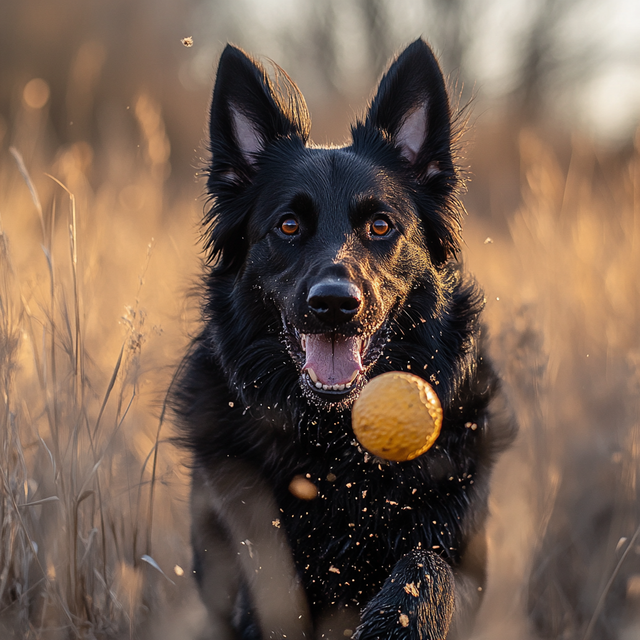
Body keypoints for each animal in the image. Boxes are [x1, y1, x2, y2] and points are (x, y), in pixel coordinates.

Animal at [174, 37, 516, 636]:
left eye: (380, 226)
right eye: (288, 226)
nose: (334, 305)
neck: (335, 446)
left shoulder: (462, 556)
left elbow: (426, 566)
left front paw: (397, 620)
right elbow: (273, 594)